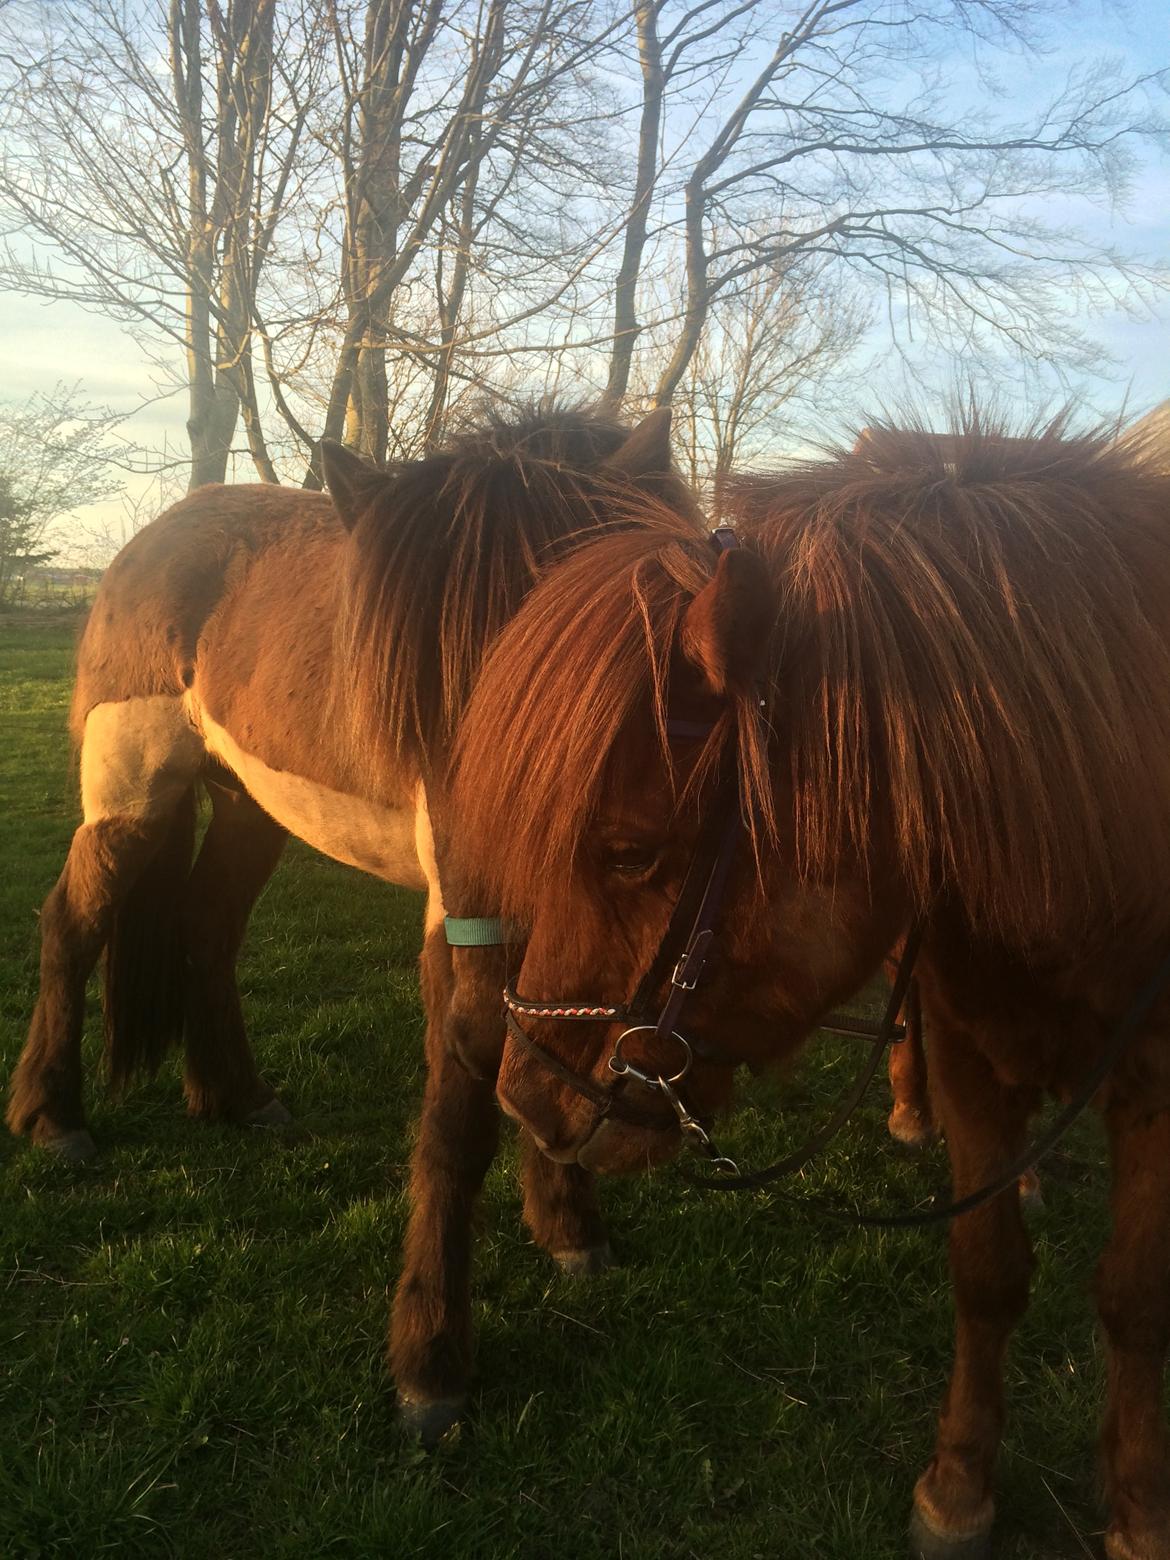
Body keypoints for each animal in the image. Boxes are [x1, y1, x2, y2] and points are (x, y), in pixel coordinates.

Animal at [6, 399, 705, 1435]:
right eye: (425, 699)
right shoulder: (462, 930)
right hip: (132, 796)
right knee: (72, 925)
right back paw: (54, 1118)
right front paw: (432, 1364)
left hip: (251, 807)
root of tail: (150, 542)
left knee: (206, 930)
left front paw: (569, 1228)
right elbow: (461, 1115)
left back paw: (238, 1097)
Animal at [452, 418, 1170, 1560]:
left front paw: (1140, 1508)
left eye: (628, 851)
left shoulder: (1153, 1078)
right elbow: (985, 1268)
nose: (527, 1097)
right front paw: (958, 1485)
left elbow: (1136, 1295)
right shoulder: (968, 1047)